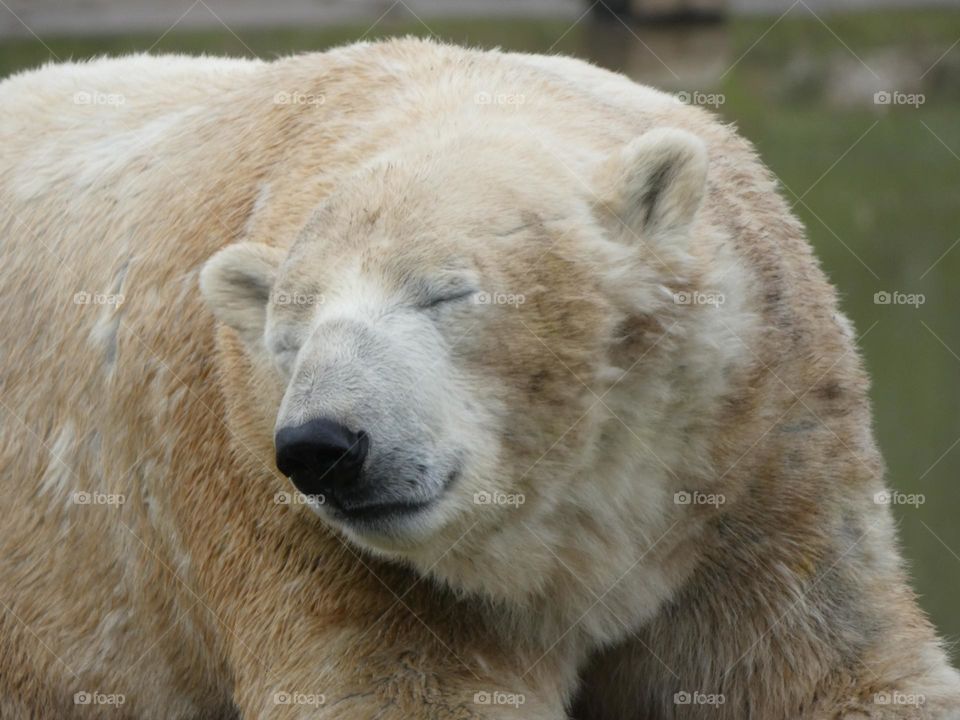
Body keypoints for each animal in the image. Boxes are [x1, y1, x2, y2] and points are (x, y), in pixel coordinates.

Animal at [1, 36, 957, 720]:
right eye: (287, 339)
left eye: (446, 292)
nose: (325, 446)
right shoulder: (295, 528)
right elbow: (397, 688)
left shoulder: (763, 455)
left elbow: (830, 668)